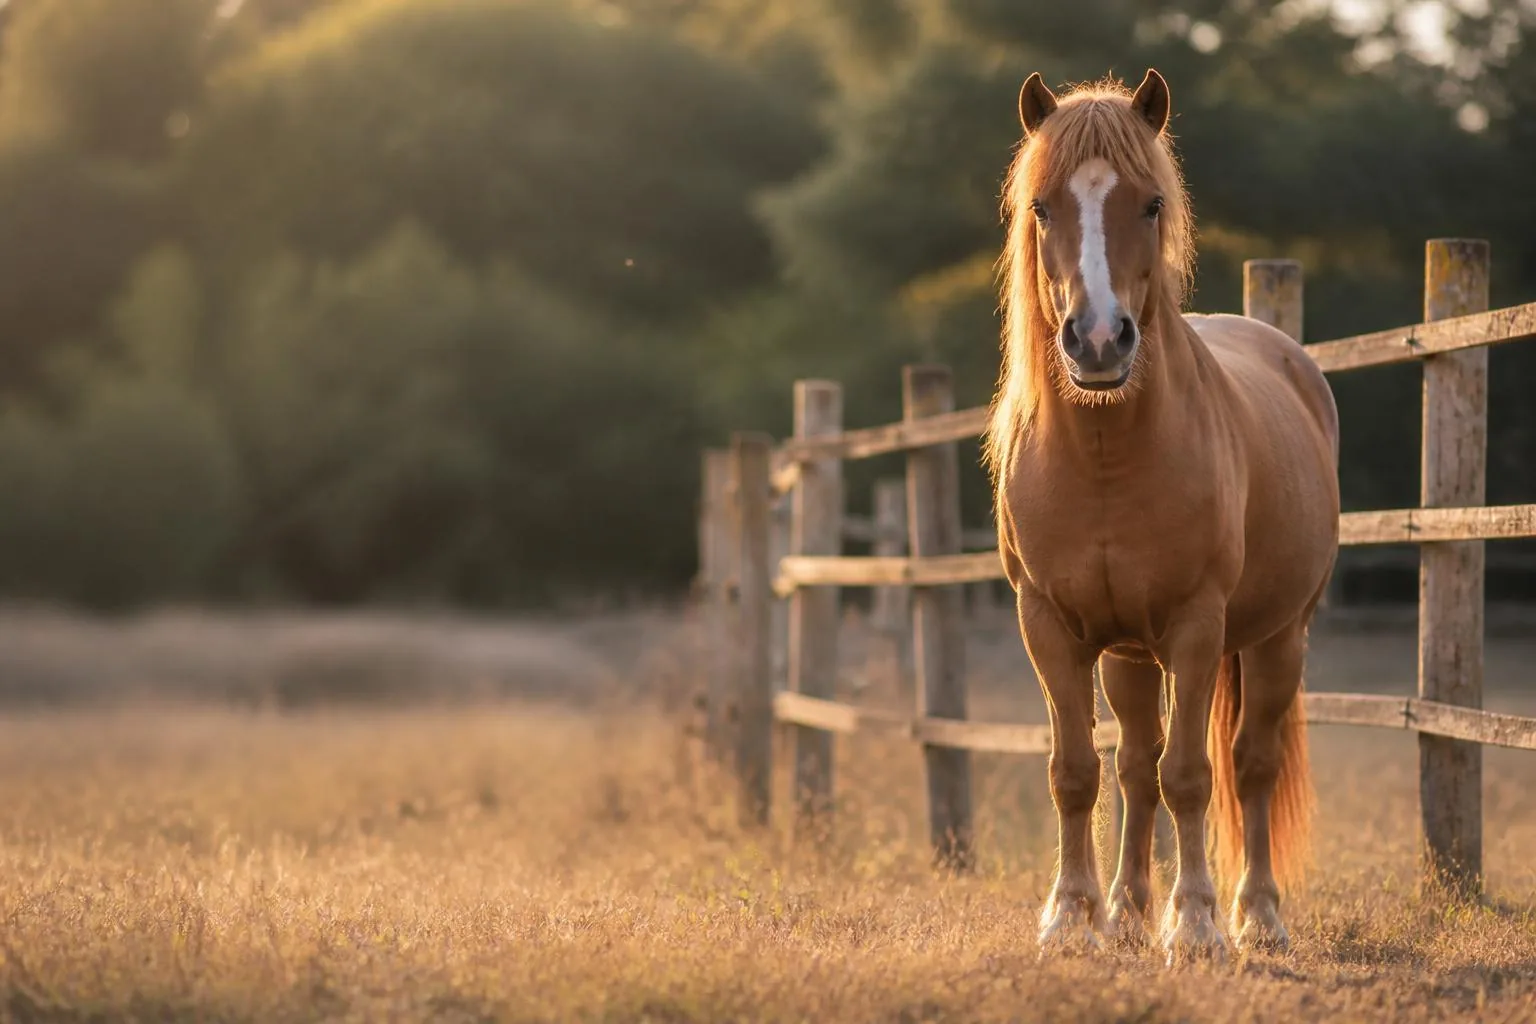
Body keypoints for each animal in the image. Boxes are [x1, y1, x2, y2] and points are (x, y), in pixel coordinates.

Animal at [984, 69, 1340, 964]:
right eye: (1042, 206)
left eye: (1150, 203)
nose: (1099, 341)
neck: (1107, 458)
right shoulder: (1049, 625)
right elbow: (1077, 771)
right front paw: (1072, 917)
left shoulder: (1195, 626)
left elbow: (1191, 777)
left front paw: (1199, 926)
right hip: (1126, 656)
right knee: (1133, 767)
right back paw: (1127, 911)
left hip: (1277, 637)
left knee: (1249, 764)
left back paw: (1258, 917)